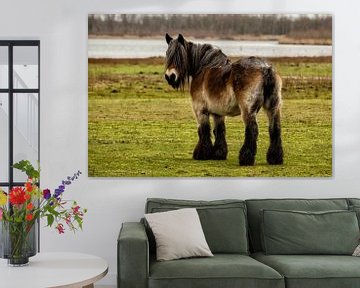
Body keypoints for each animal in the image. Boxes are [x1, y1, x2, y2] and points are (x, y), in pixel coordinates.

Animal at [164, 33, 284, 165]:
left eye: (179, 55)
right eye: (167, 53)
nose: (170, 76)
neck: (202, 68)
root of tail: (266, 69)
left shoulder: (200, 110)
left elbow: (203, 130)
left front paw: (201, 154)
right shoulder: (218, 113)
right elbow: (219, 130)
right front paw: (219, 153)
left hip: (248, 110)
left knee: (252, 129)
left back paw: (245, 158)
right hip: (273, 108)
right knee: (275, 128)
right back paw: (275, 158)